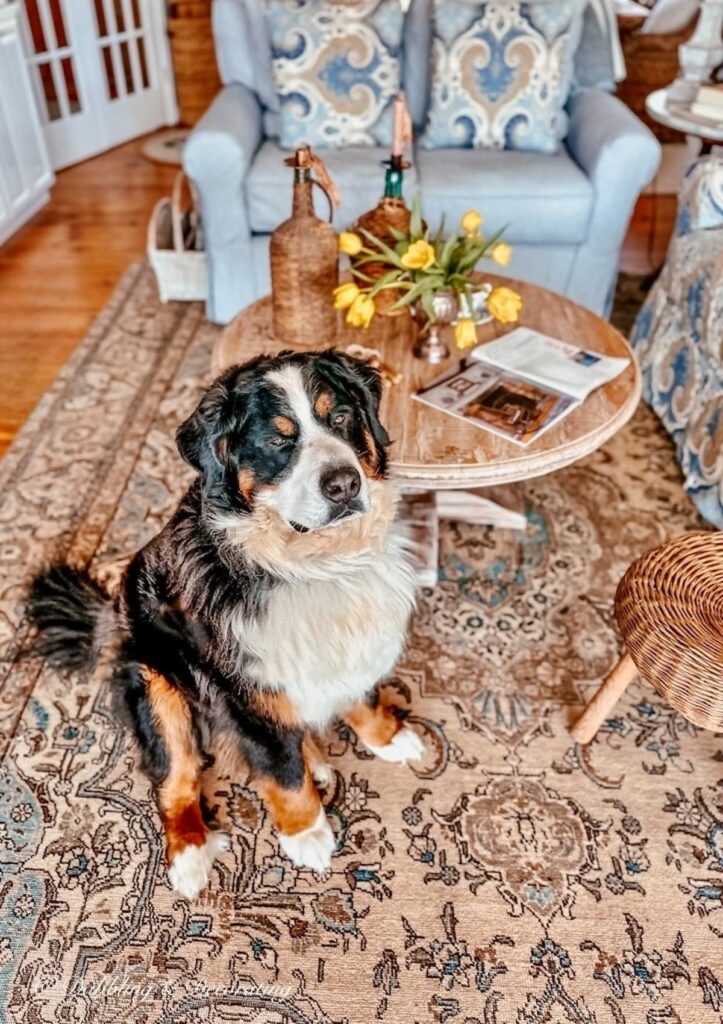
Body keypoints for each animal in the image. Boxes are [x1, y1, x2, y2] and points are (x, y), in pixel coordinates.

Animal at [28, 348, 421, 901]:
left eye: (341, 417)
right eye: (279, 441)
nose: (344, 483)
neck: (315, 565)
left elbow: (361, 698)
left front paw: (389, 735)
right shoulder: (244, 693)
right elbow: (281, 774)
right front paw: (307, 833)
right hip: (156, 686)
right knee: (176, 783)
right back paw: (191, 856)